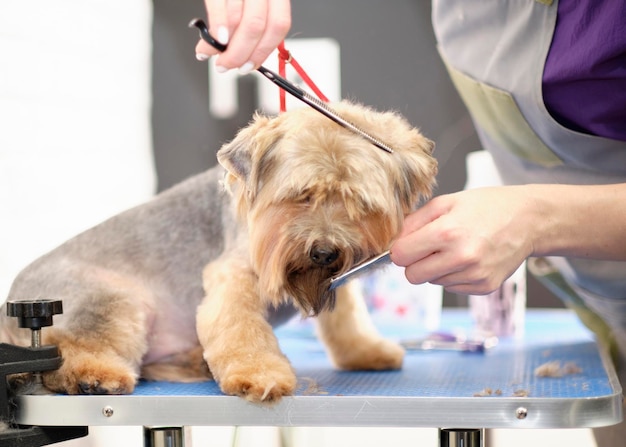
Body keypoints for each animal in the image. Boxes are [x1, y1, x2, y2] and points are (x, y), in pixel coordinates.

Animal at [0, 100, 436, 402]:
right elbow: (241, 327)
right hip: (114, 299)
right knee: (67, 353)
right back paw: (95, 377)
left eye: (357, 202)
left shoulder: (335, 281)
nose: (325, 252)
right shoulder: (235, 274)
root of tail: (11, 305)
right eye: (301, 196)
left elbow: (345, 318)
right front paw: (260, 375)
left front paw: (366, 350)